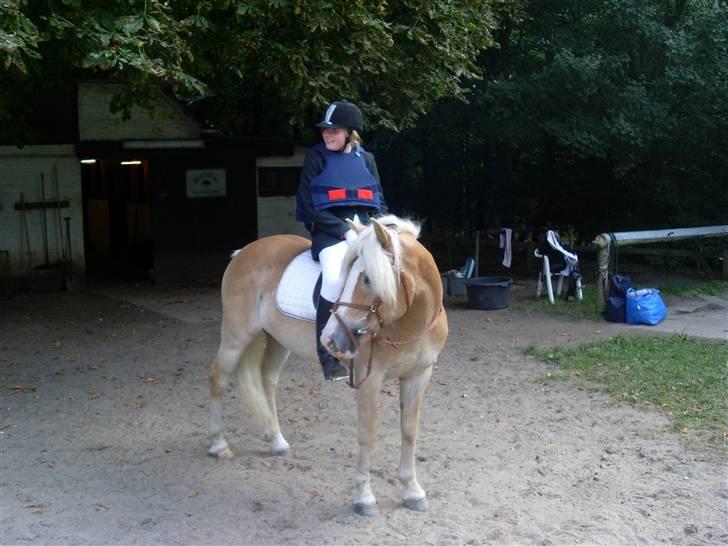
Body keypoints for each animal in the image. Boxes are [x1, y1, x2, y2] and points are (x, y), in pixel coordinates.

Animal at [206, 214, 450, 516]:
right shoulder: (370, 380)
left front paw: (413, 492)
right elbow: (367, 433)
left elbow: (409, 431)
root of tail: (243, 252)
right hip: (236, 336)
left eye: (368, 278)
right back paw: (219, 445)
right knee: (217, 378)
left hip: (277, 341)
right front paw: (364, 497)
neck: (409, 324)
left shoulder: (419, 375)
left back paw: (277, 442)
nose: (329, 339)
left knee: (267, 382)